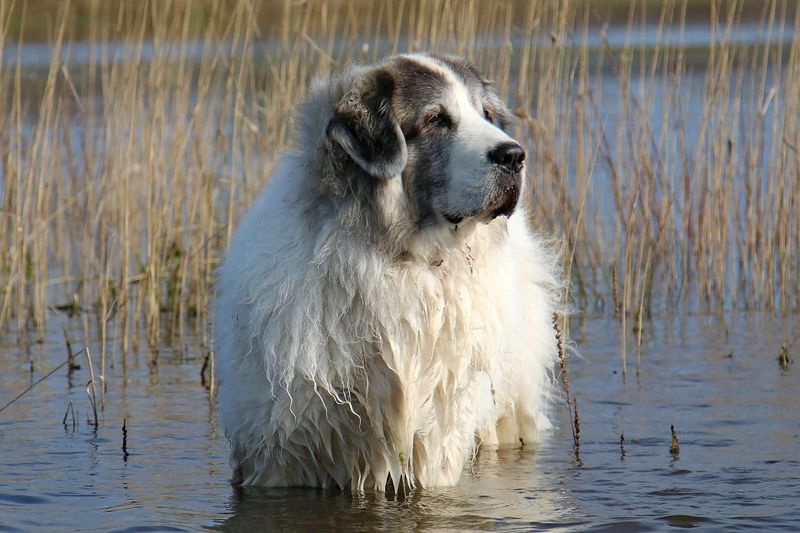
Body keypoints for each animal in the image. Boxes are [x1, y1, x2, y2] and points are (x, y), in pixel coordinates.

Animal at [214, 53, 564, 490]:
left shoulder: (434, 442)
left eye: (486, 115)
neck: (403, 259)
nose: (514, 155)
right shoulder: (281, 455)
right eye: (436, 119)